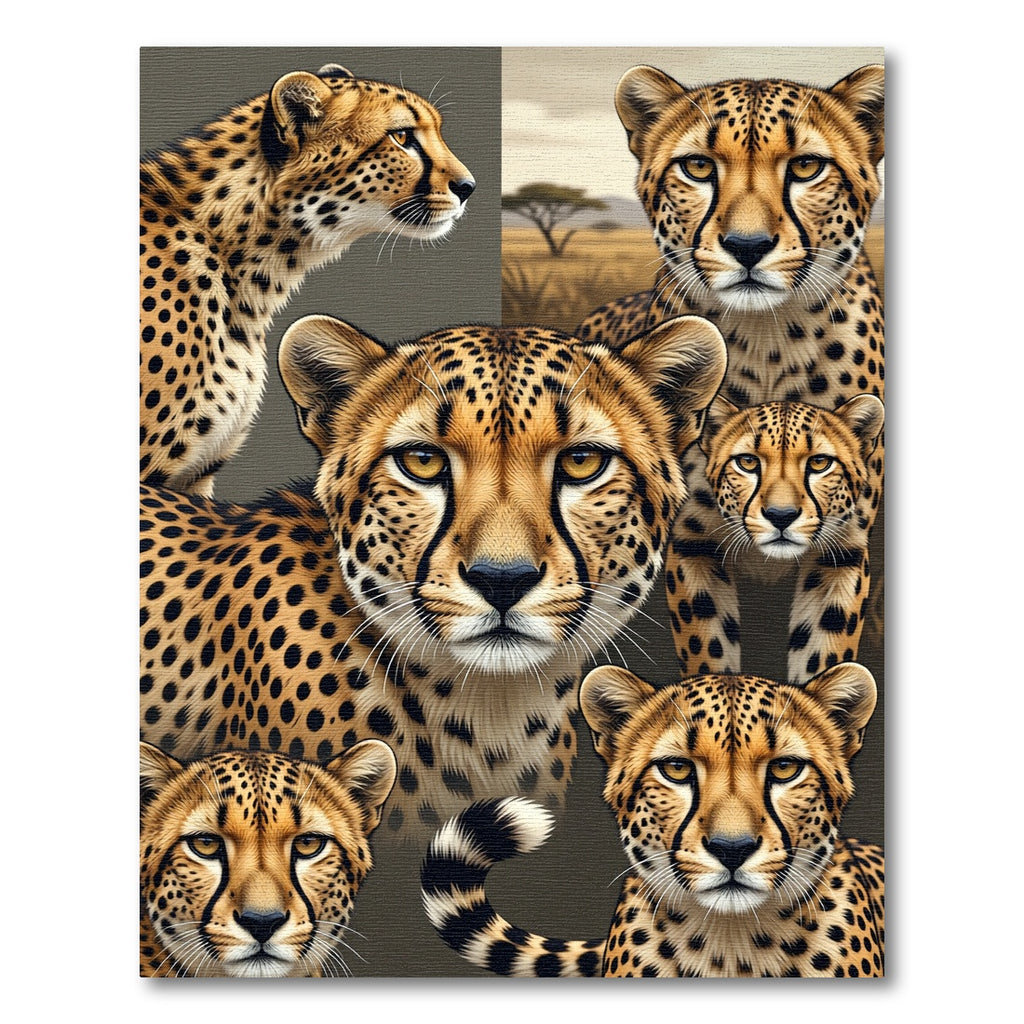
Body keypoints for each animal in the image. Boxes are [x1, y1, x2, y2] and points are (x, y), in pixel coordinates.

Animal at [669, 394, 884, 683]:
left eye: (820, 463)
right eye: (747, 462)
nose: (781, 516)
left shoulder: (841, 554)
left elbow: (822, 648)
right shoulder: (695, 545)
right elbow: (708, 648)